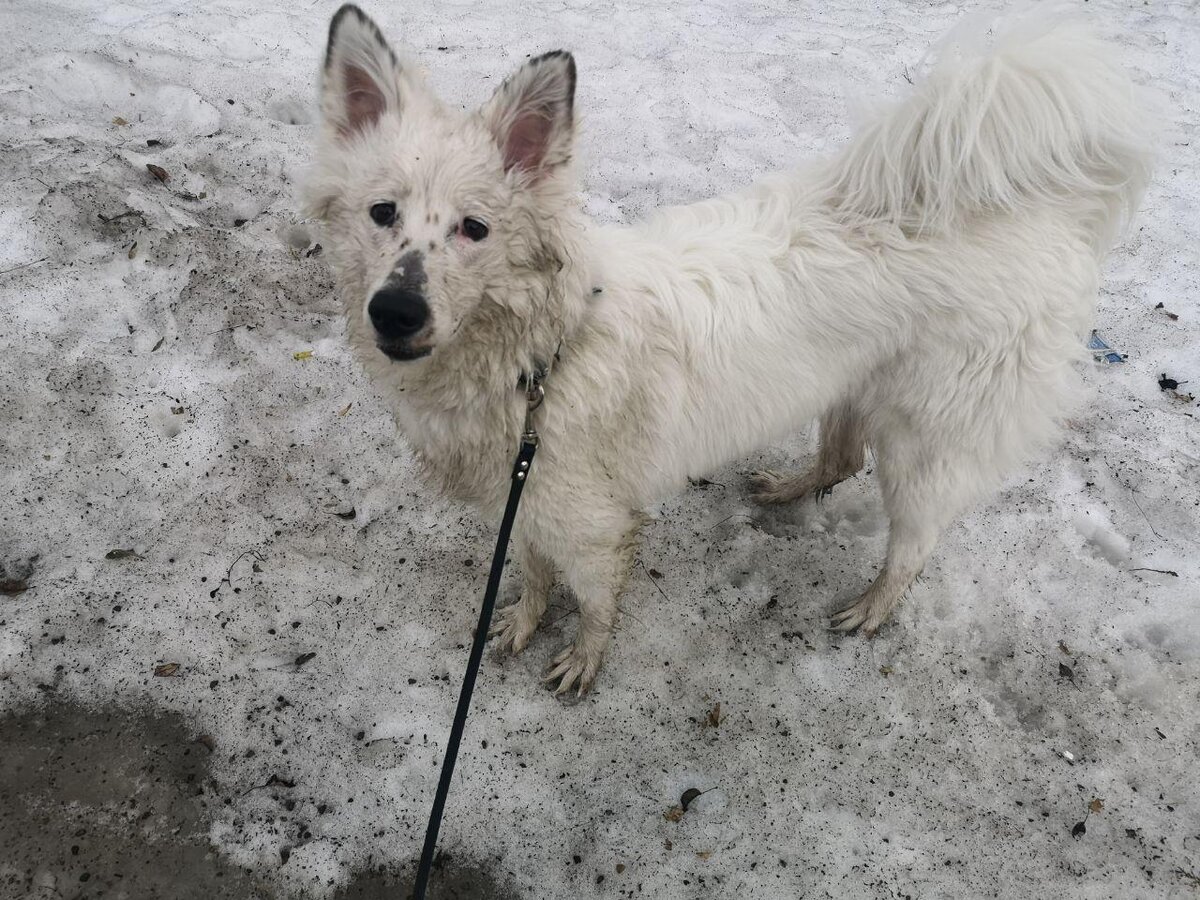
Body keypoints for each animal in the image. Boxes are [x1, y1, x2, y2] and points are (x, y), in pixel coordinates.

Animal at [309, 3, 1152, 696]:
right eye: (383, 212)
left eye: (474, 229)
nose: (395, 311)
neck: (545, 355)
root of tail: (1038, 211)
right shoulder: (526, 500)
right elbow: (533, 572)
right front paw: (518, 621)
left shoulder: (590, 521)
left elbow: (594, 600)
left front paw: (583, 659)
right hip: (847, 385)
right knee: (841, 459)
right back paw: (786, 488)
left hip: (927, 440)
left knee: (914, 542)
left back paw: (872, 608)